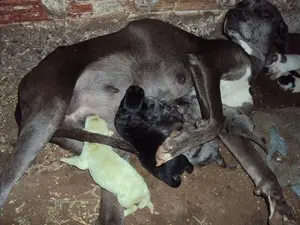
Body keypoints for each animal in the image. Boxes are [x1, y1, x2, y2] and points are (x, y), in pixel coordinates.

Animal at [0, 0, 296, 224]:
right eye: (241, 4)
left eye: (264, 12)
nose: (232, 13)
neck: (249, 56)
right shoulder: (204, 64)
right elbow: (214, 120)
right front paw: (173, 146)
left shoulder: (229, 127)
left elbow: (261, 168)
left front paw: (278, 204)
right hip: (48, 113)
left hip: (108, 145)